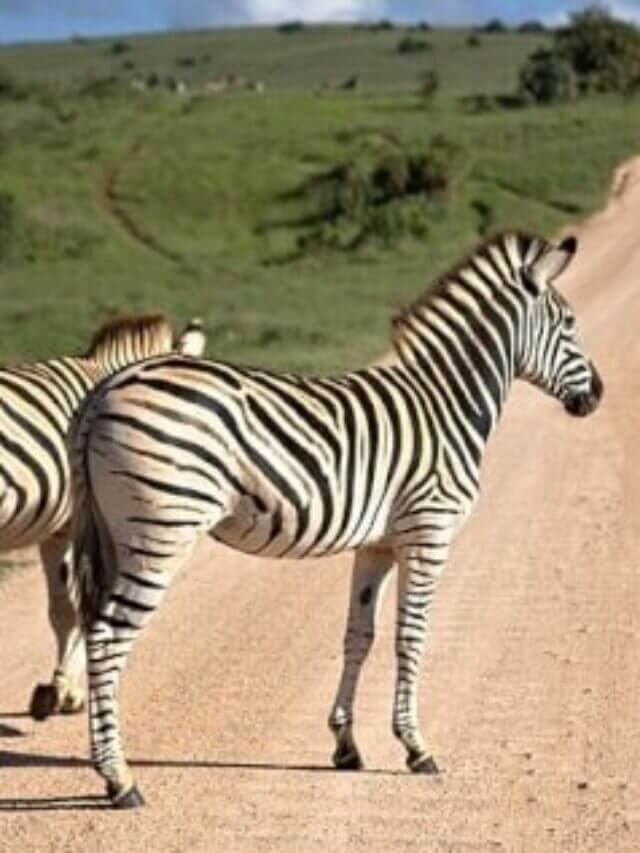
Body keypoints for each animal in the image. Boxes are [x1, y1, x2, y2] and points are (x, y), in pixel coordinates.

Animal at [69, 231, 602, 807]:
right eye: (569, 323)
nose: (597, 395)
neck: (447, 404)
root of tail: (105, 389)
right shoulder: (429, 531)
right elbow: (411, 635)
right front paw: (416, 747)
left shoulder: (378, 544)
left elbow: (359, 635)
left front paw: (346, 746)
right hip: (161, 532)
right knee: (108, 637)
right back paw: (120, 779)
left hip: (116, 534)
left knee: (94, 629)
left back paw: (107, 763)